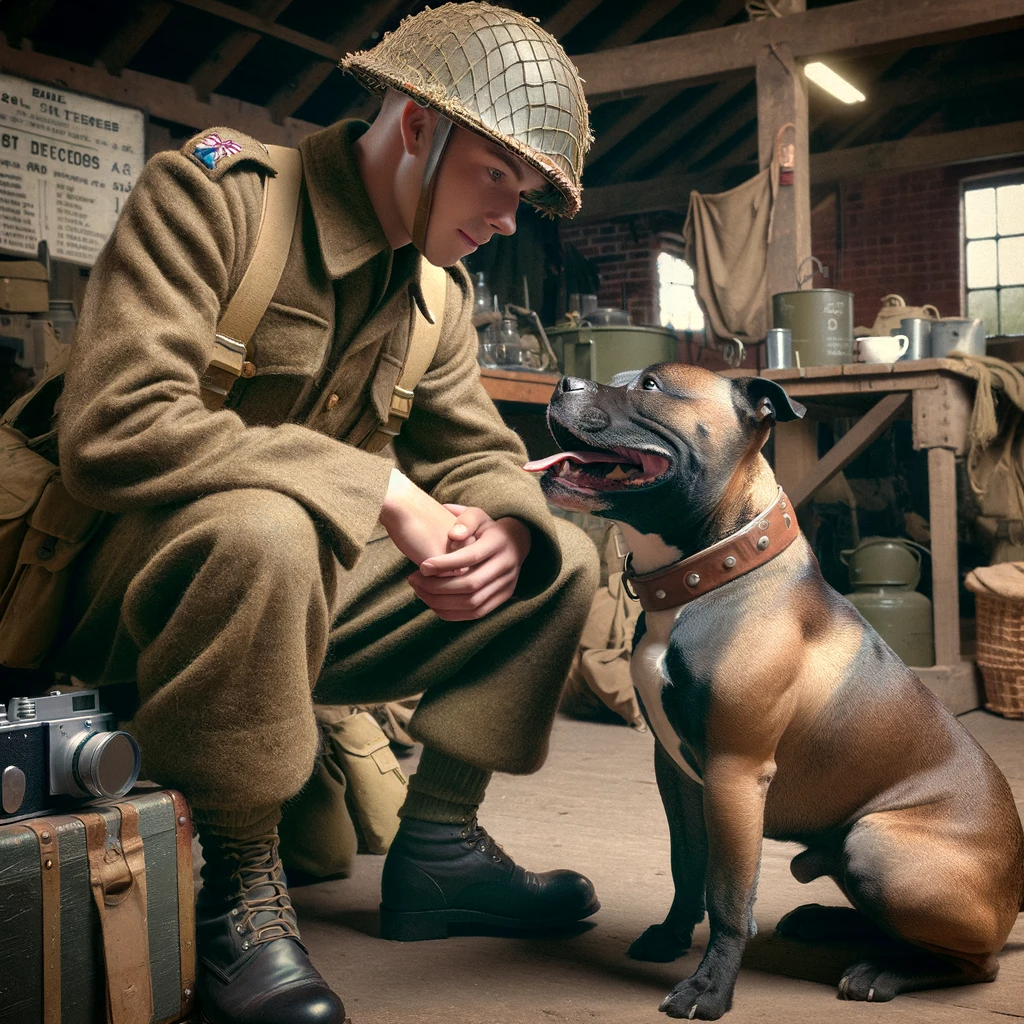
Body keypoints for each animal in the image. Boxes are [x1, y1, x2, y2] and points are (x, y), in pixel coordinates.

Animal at [528, 366, 1024, 1015]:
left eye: (651, 386)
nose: (564, 382)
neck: (712, 571)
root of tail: (1014, 896)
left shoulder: (734, 775)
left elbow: (728, 896)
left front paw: (709, 989)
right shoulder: (678, 774)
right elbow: (686, 865)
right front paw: (670, 936)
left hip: (877, 844)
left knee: (976, 964)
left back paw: (882, 973)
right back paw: (825, 922)